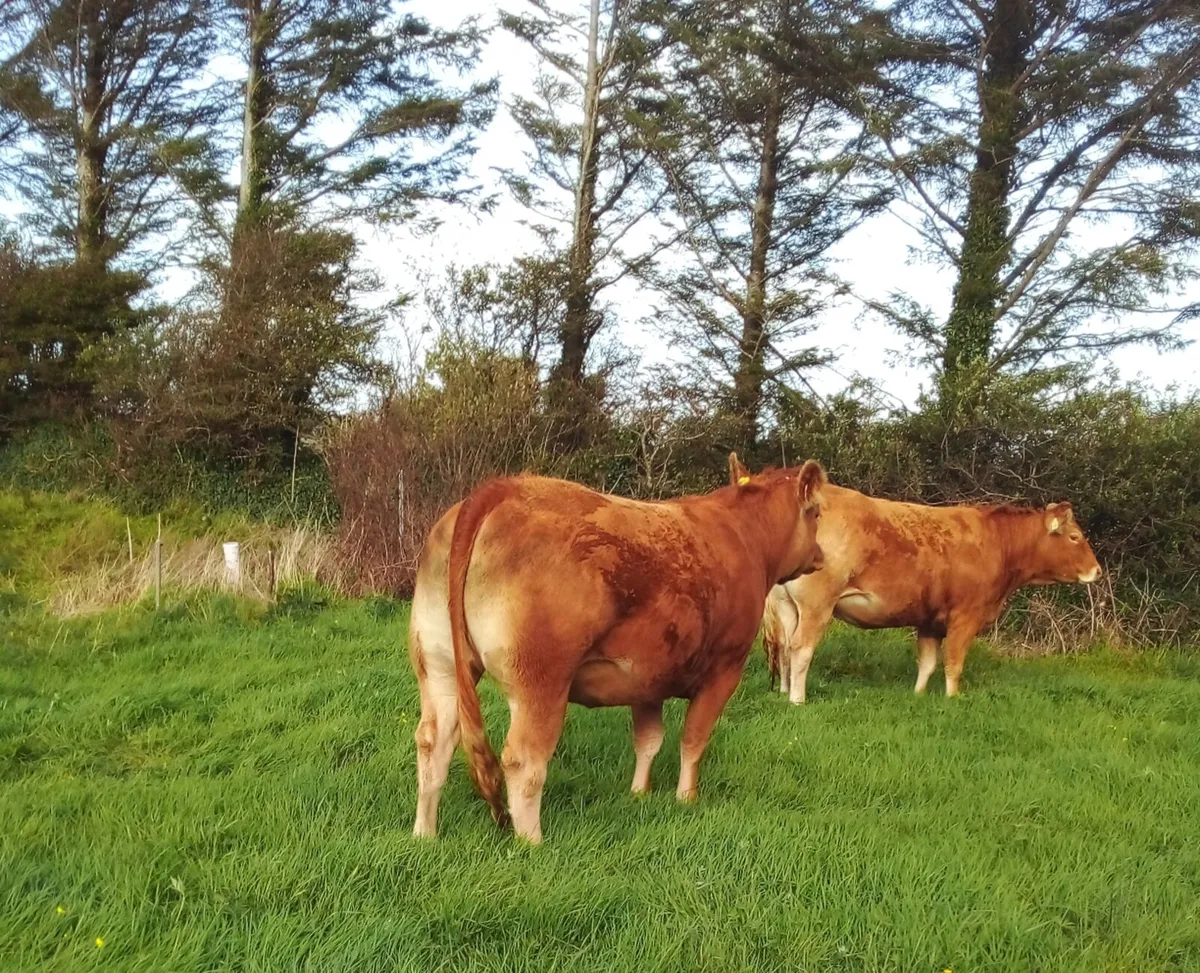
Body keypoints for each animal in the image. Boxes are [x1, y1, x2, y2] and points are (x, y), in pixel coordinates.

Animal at [409, 455, 827, 843]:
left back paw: (425, 834)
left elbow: (648, 740)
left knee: (434, 741)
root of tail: (501, 488)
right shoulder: (725, 668)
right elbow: (693, 739)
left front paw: (639, 793)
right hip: (540, 681)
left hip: (438, 663)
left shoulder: (648, 677)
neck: (743, 536)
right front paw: (686, 798)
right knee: (523, 760)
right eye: (816, 512)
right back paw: (532, 844)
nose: (821, 557)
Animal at [752, 470, 1103, 702]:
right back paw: (797, 700)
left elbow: (928, 663)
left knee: (784, 647)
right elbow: (953, 663)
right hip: (817, 605)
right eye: (1075, 537)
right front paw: (952, 699)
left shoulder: (929, 621)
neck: (996, 543)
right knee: (801, 648)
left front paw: (919, 695)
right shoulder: (965, 617)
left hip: (787, 606)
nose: (1097, 571)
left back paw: (783, 692)